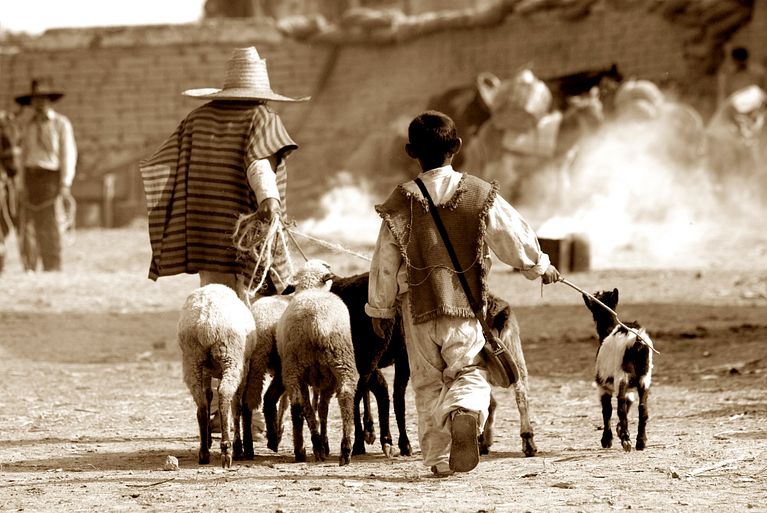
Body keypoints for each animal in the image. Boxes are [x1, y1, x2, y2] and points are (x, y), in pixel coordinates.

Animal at [177, 284, 256, 468]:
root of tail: (206, 323)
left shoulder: (207, 370)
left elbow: (208, 394)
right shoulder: (245, 366)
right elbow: (238, 403)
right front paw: (240, 447)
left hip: (192, 359)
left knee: (201, 402)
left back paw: (204, 451)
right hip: (232, 357)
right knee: (226, 395)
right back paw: (228, 449)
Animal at [275, 260, 359, 465]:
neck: (311, 289)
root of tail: (317, 323)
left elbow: (319, 408)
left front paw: (323, 443)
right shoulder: (328, 380)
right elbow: (322, 408)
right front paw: (325, 442)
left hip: (295, 366)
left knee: (299, 404)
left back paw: (307, 448)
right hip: (340, 361)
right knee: (345, 396)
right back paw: (343, 449)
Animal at [582, 288, 653, 451]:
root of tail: (636, 341)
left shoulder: (602, 386)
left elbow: (607, 410)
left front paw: (607, 439)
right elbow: (629, 403)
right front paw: (620, 430)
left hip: (621, 375)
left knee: (620, 405)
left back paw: (626, 440)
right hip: (645, 377)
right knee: (642, 408)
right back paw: (641, 442)